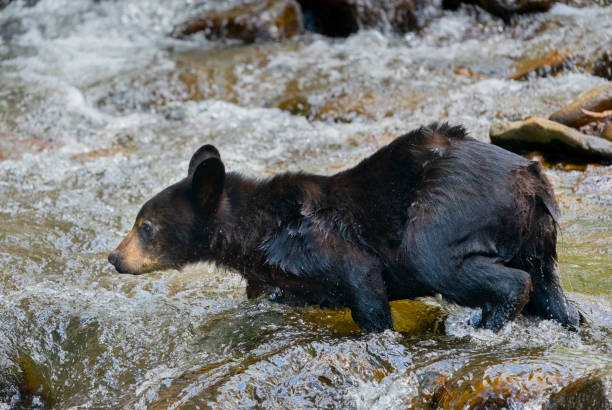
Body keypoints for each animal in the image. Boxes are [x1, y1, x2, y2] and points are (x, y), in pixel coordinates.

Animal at [107, 123, 580, 332]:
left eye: (145, 226)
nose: (114, 257)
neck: (257, 232)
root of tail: (531, 179)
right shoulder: (276, 274)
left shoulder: (313, 240)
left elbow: (361, 275)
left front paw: (379, 332)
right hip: (538, 234)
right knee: (547, 280)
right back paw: (566, 315)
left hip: (449, 208)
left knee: (440, 259)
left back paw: (490, 321)